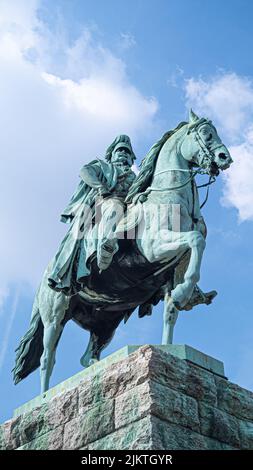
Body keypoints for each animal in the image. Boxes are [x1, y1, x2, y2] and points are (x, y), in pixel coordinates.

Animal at [12, 110, 232, 392]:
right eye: (206, 134)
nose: (225, 157)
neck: (173, 200)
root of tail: (43, 279)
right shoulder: (154, 248)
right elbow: (196, 240)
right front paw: (184, 293)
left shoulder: (173, 272)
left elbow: (171, 311)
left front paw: (181, 304)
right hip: (55, 314)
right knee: (46, 358)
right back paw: (44, 396)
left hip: (106, 323)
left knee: (87, 356)